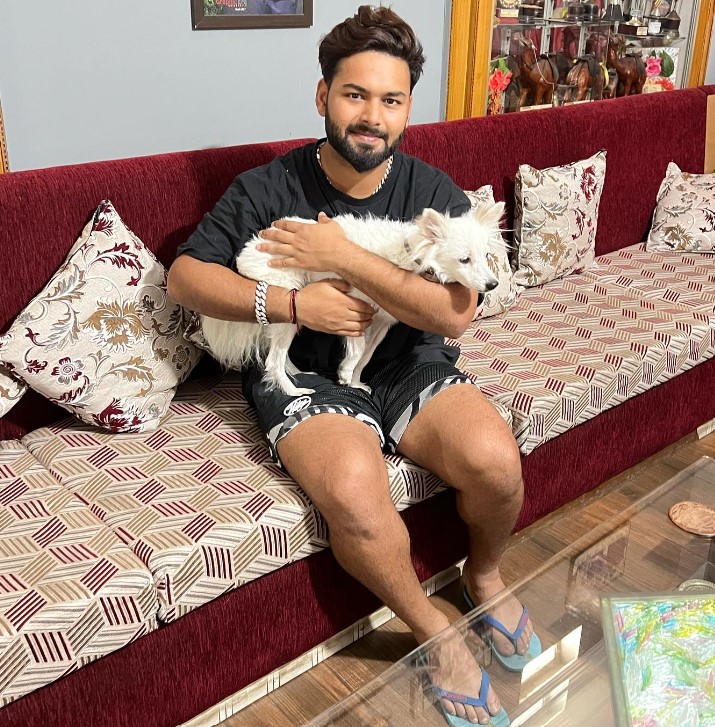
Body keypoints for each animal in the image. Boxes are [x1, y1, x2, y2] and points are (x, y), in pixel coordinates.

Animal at [201, 203, 504, 397]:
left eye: (487, 256)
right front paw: (346, 373)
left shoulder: (381, 323)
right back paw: (294, 391)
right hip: (289, 307)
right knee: (273, 361)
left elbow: (367, 355)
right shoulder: (353, 308)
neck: (410, 254)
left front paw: (356, 381)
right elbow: (357, 349)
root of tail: (246, 253)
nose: (493, 284)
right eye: (464, 260)